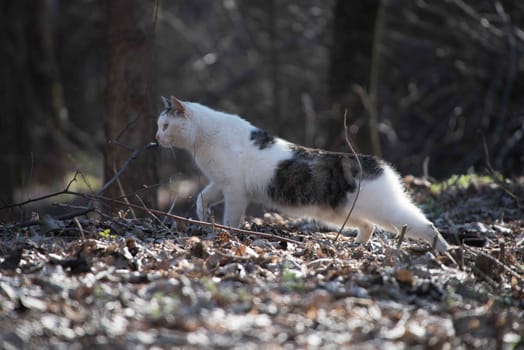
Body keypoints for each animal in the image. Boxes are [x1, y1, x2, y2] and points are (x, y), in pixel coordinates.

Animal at [155, 95, 450, 253]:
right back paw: (355, 246)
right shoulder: (221, 183)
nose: (156, 137)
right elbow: (201, 197)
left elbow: (231, 220)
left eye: (165, 125)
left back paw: (444, 253)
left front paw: (225, 236)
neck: (203, 138)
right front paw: (203, 216)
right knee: (369, 226)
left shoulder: (235, 191)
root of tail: (378, 164)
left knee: (424, 224)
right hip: (342, 213)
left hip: (384, 209)